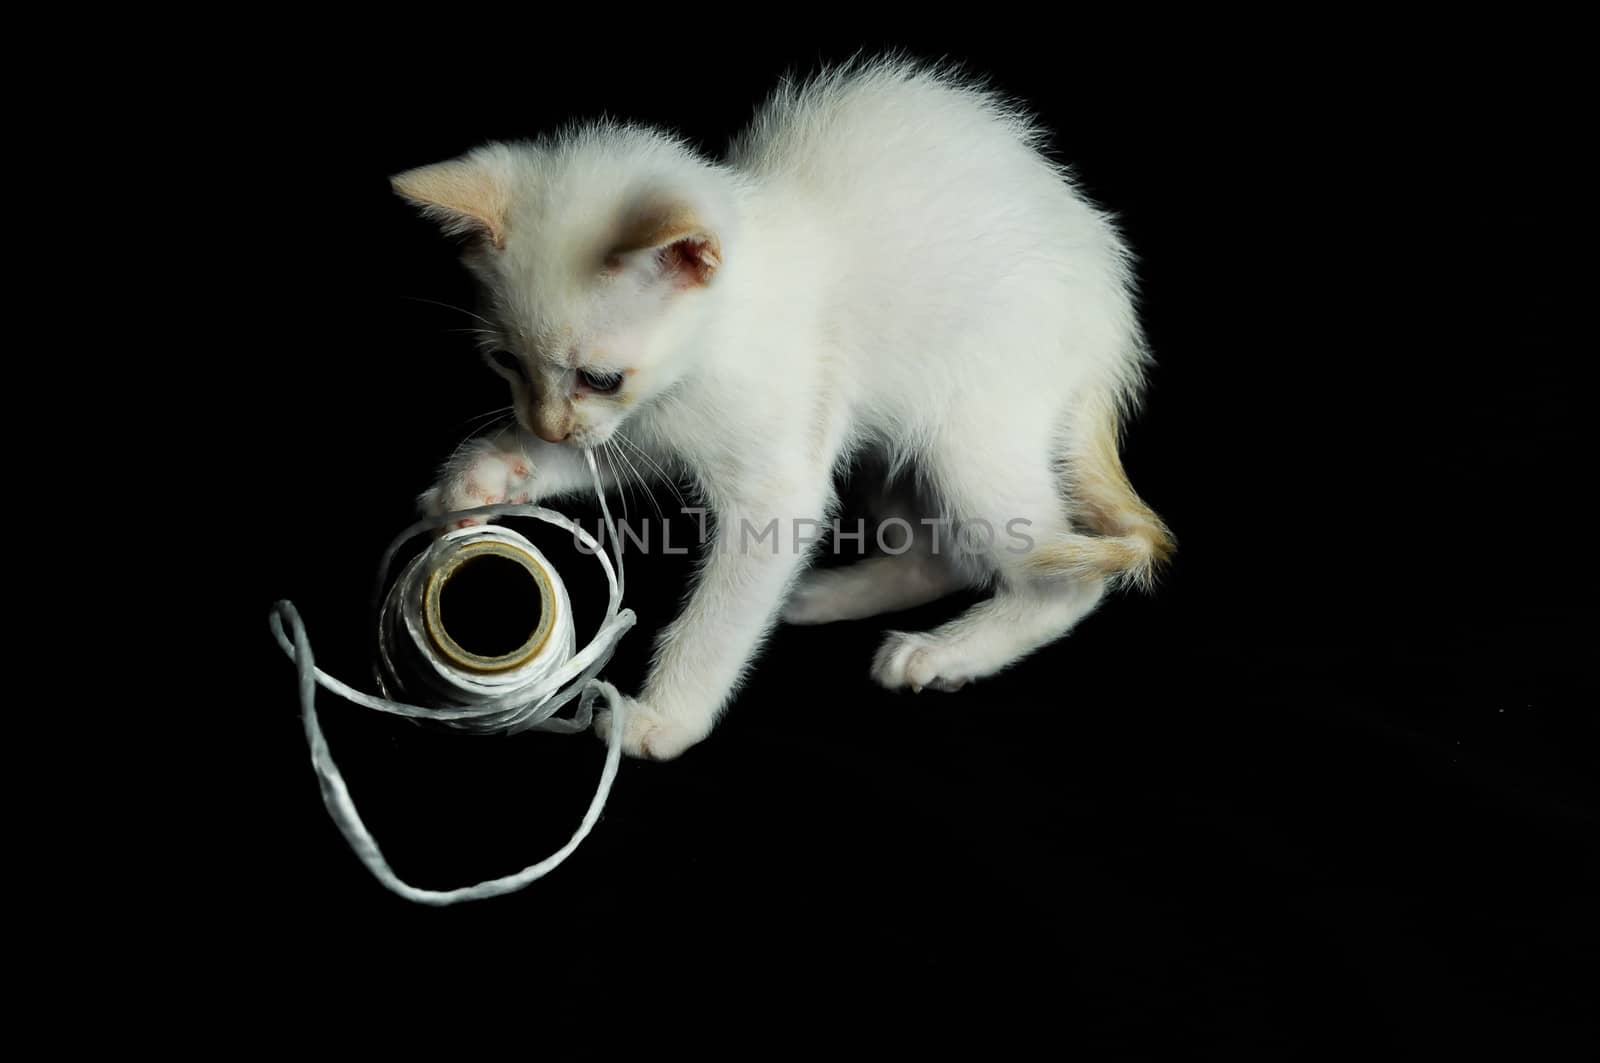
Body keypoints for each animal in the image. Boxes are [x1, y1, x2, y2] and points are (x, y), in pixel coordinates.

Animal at [400, 58, 1177, 758]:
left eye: (601, 376)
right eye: (506, 363)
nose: (547, 425)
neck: (713, 340)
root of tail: (1111, 309)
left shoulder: (769, 476)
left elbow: (728, 604)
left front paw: (667, 716)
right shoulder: (648, 425)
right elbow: (601, 455)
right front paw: (485, 475)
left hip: (974, 424)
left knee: (1061, 580)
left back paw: (944, 652)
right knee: (938, 557)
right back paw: (823, 597)